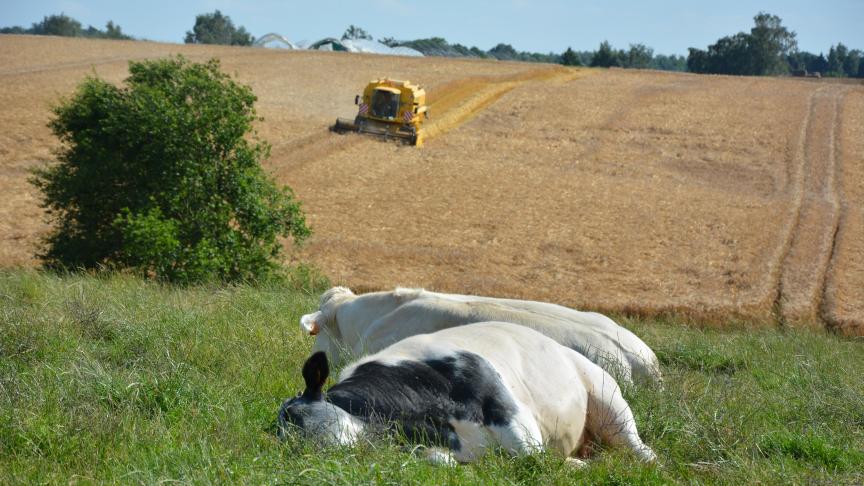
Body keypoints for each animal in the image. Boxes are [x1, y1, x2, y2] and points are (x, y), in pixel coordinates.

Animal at [276, 320, 656, 466]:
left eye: (298, 417)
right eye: (282, 435)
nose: (302, 455)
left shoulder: (511, 417)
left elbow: (532, 457)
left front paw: (573, 467)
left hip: (608, 398)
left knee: (638, 446)